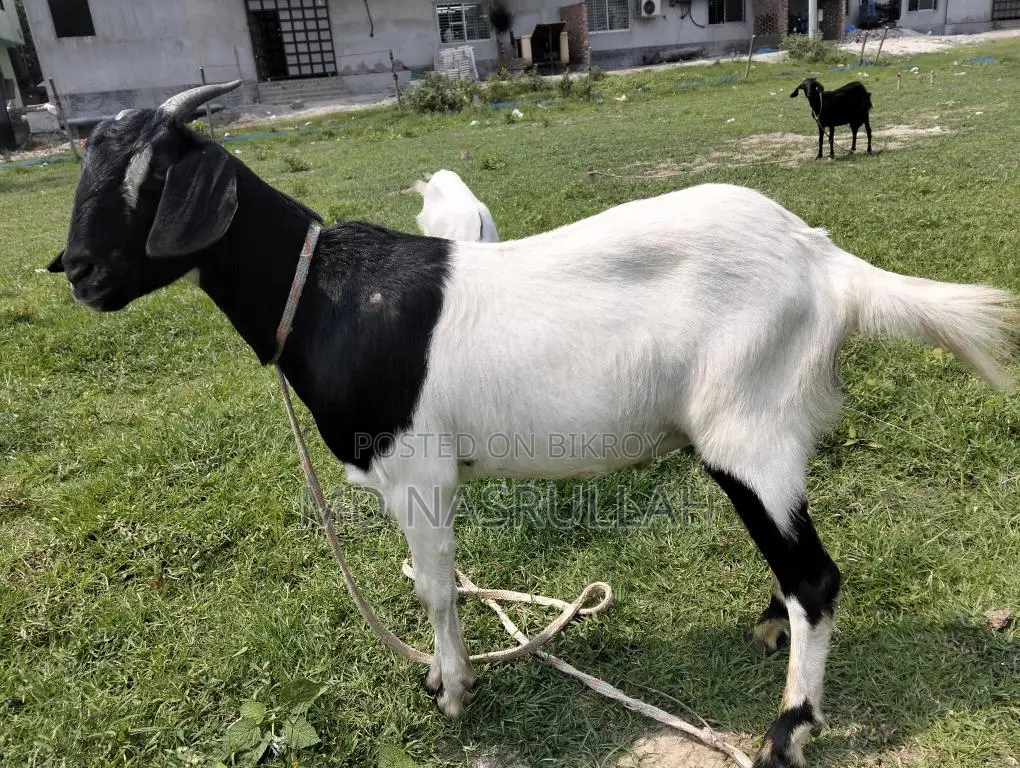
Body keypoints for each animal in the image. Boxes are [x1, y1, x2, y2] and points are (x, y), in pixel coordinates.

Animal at [47, 81, 1016, 768]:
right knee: (793, 562)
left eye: (153, 178)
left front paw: (451, 690)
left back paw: (787, 732)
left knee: (816, 576)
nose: (80, 273)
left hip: (748, 424)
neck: (325, 294)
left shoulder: (419, 472)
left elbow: (437, 589)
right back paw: (770, 631)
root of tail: (828, 265)